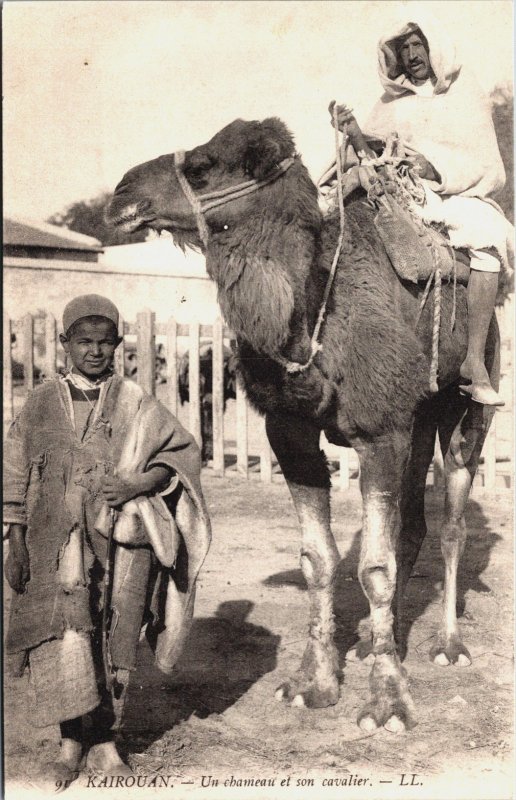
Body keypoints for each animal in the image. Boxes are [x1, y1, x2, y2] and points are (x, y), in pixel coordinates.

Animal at [108, 115, 500, 736]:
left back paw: (448, 645)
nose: (121, 194)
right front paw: (312, 683)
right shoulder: (291, 433)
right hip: (414, 423)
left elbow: (376, 566)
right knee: (413, 522)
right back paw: (380, 639)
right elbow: (320, 560)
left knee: (454, 518)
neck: (314, 317)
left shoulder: (379, 431)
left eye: (203, 165)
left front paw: (386, 702)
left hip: (461, 407)